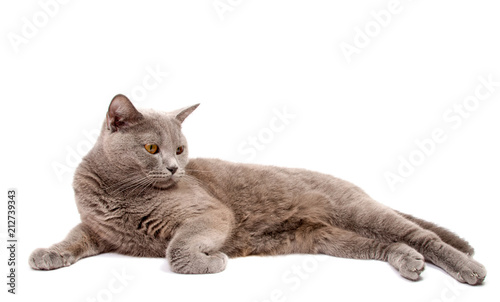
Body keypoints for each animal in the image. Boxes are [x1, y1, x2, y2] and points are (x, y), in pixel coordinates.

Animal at [29, 95, 486, 286]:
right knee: (388, 245)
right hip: (330, 237)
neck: (121, 191)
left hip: (358, 211)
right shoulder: (98, 229)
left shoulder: (209, 214)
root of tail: (352, 185)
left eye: (181, 149)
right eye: (153, 149)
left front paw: (211, 262)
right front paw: (46, 254)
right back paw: (409, 262)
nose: (176, 167)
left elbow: (177, 250)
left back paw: (469, 268)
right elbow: (73, 238)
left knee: (422, 236)